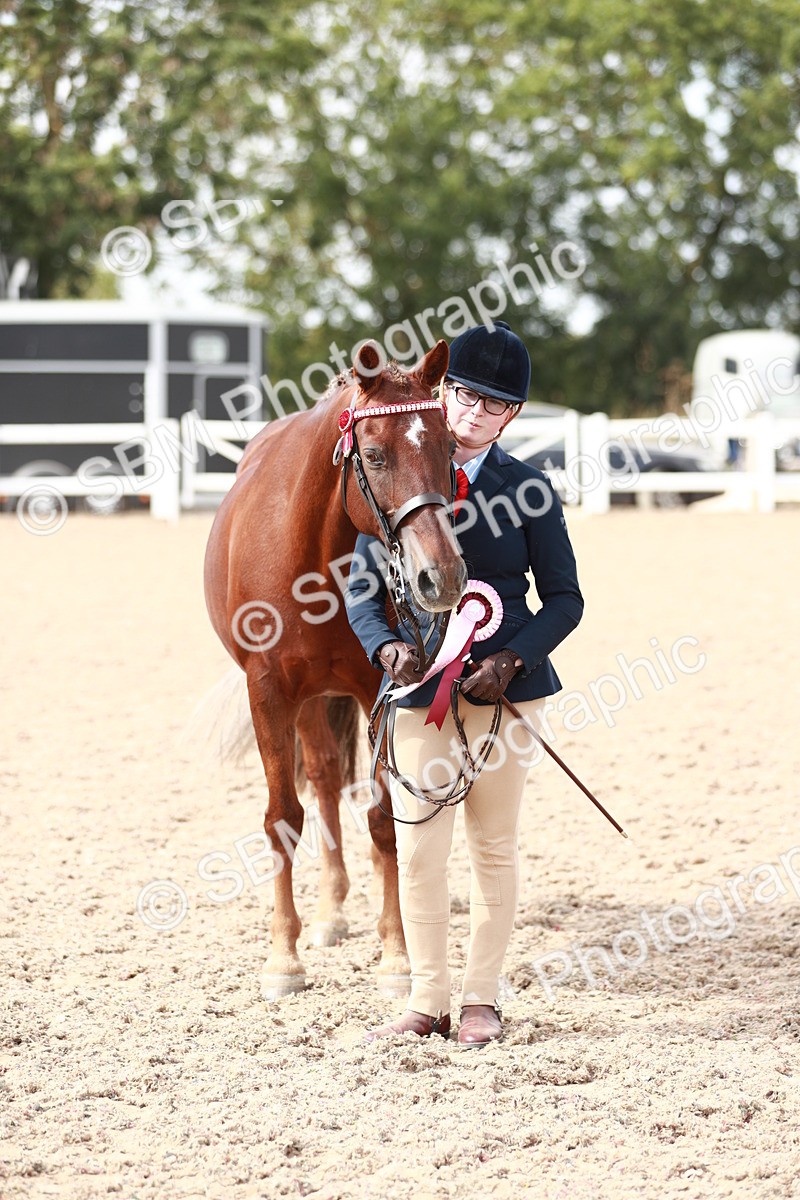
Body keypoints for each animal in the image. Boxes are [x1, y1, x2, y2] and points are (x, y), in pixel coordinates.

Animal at [203, 339, 467, 1000]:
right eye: (374, 455)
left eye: (449, 449)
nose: (443, 576)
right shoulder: (269, 692)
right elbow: (281, 818)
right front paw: (283, 958)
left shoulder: (379, 686)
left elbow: (380, 820)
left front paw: (396, 955)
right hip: (304, 700)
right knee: (318, 781)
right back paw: (324, 918)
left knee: (329, 782)